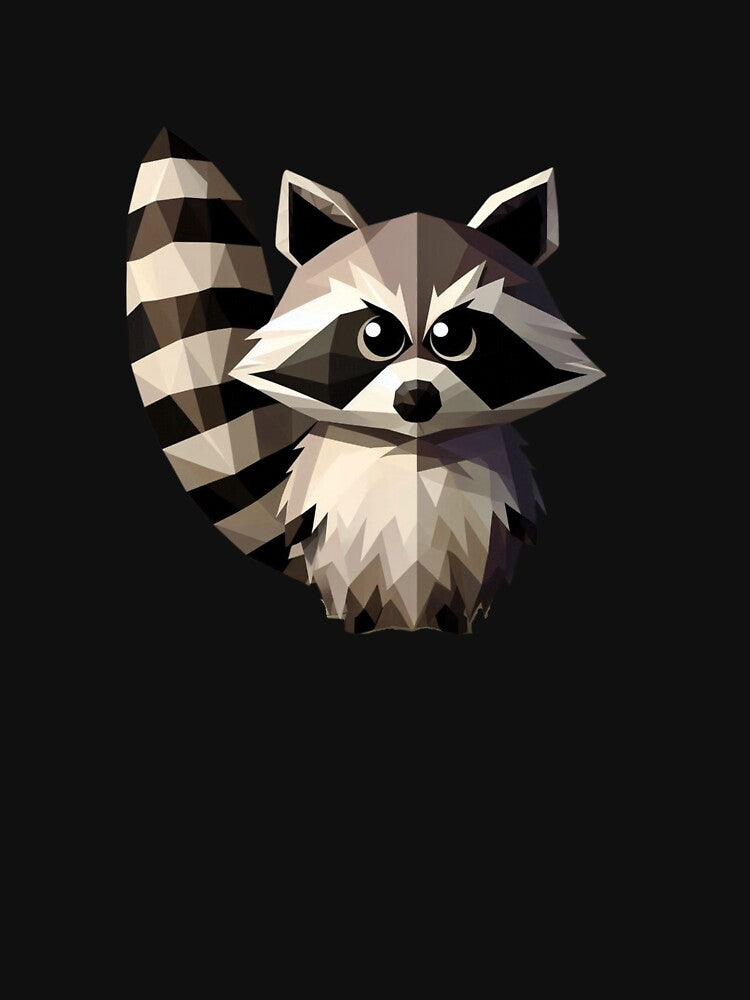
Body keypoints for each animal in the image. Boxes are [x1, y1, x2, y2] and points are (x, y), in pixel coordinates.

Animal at [127, 129, 603, 634]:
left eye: (454, 337)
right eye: (376, 336)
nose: (416, 398)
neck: (413, 449)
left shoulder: (501, 495)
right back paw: (363, 618)